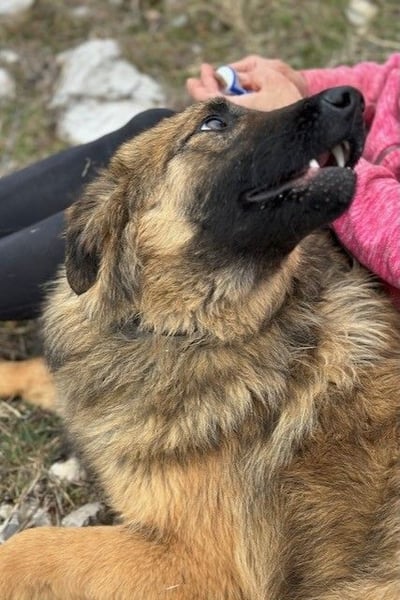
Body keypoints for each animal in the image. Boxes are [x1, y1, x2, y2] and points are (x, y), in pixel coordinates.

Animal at [1, 88, 400, 600]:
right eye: (213, 123)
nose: (351, 98)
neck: (188, 331)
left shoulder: (200, 564)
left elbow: (29, 546)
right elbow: (38, 372)